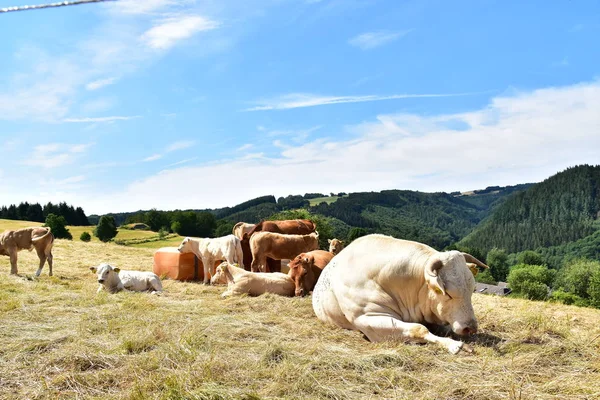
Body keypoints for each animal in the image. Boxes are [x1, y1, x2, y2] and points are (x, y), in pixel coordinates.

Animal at [312, 234, 490, 354]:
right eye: (448, 294)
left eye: (471, 290)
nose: (470, 328)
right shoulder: (366, 319)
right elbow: (419, 329)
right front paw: (455, 345)